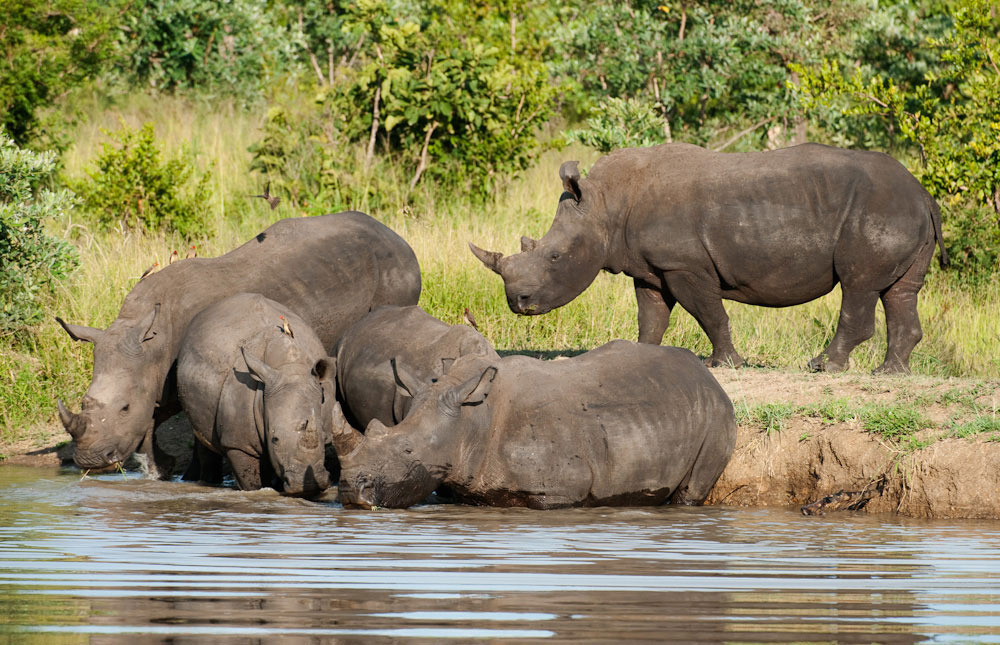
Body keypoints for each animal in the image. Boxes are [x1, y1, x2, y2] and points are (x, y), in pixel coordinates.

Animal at [176, 294, 334, 495]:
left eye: (324, 437)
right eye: (275, 439)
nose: (308, 485)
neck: (290, 367)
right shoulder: (238, 444)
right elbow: (251, 481)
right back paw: (207, 483)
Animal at [329, 340, 736, 510]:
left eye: (408, 450)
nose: (349, 491)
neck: (471, 419)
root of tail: (706, 376)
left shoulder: (559, 491)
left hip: (716, 414)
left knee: (691, 490)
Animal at [470, 143, 948, 374]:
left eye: (554, 256)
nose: (518, 304)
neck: (604, 205)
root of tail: (922, 191)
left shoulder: (683, 265)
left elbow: (709, 314)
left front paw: (725, 364)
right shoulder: (651, 267)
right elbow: (651, 316)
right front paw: (639, 356)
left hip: (878, 211)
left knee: (858, 285)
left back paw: (823, 367)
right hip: (900, 208)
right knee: (901, 290)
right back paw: (890, 373)